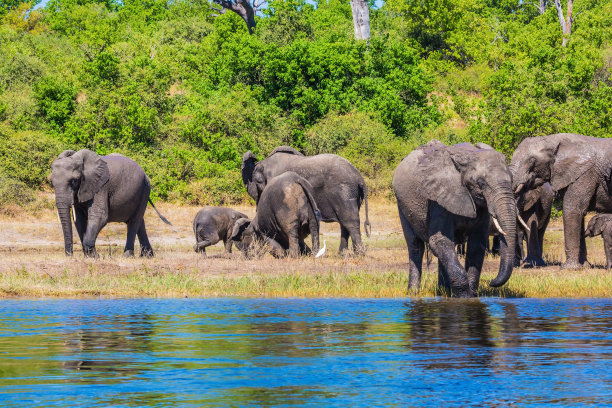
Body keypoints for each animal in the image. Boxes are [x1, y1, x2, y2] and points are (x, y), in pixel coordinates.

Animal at [241, 145, 370, 253]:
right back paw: (343, 254)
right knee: (344, 222)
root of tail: (359, 178)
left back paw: (359, 254)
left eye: (257, 183)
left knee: (350, 221)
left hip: (344, 192)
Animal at [392, 142, 516, 298]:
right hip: (401, 205)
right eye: (481, 183)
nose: (491, 282)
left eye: (512, 181)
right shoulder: (438, 199)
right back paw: (413, 292)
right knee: (416, 246)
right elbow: (438, 240)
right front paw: (463, 297)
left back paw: (443, 291)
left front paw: (471, 295)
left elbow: (476, 244)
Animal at [506, 132, 612, 270]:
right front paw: (584, 266)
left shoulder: (584, 174)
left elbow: (571, 210)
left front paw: (569, 268)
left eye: (532, 161)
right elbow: (579, 213)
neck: (554, 140)